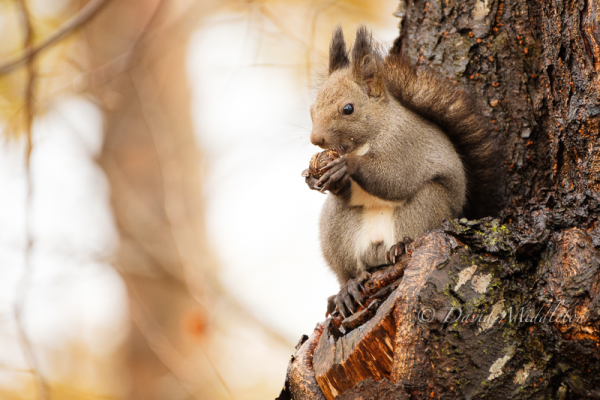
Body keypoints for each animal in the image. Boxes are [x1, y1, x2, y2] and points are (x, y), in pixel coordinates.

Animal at [300, 26, 502, 318]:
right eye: (312, 109)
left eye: (348, 109)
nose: (317, 140)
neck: (368, 137)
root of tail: (377, 251)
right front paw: (312, 176)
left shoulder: (406, 146)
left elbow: (395, 178)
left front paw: (346, 166)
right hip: (336, 227)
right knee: (348, 270)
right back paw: (347, 288)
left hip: (428, 205)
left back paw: (401, 245)